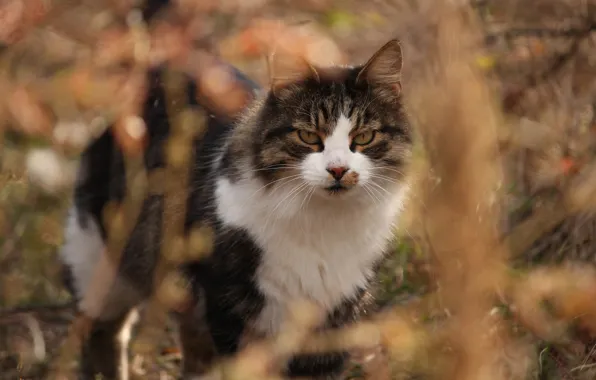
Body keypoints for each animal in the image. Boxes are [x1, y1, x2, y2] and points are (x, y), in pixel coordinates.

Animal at [60, 37, 414, 378]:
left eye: (364, 137)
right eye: (309, 136)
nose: (338, 170)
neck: (324, 225)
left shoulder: (332, 318)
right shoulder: (227, 306)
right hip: (100, 264)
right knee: (101, 333)